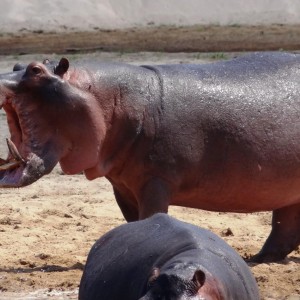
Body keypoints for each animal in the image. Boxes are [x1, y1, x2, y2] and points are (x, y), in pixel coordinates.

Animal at [0, 52, 300, 262]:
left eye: (36, 69)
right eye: (15, 66)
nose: (2, 75)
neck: (104, 96)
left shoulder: (155, 181)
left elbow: (152, 216)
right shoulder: (122, 186)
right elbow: (134, 222)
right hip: (289, 193)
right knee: (284, 227)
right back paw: (260, 259)